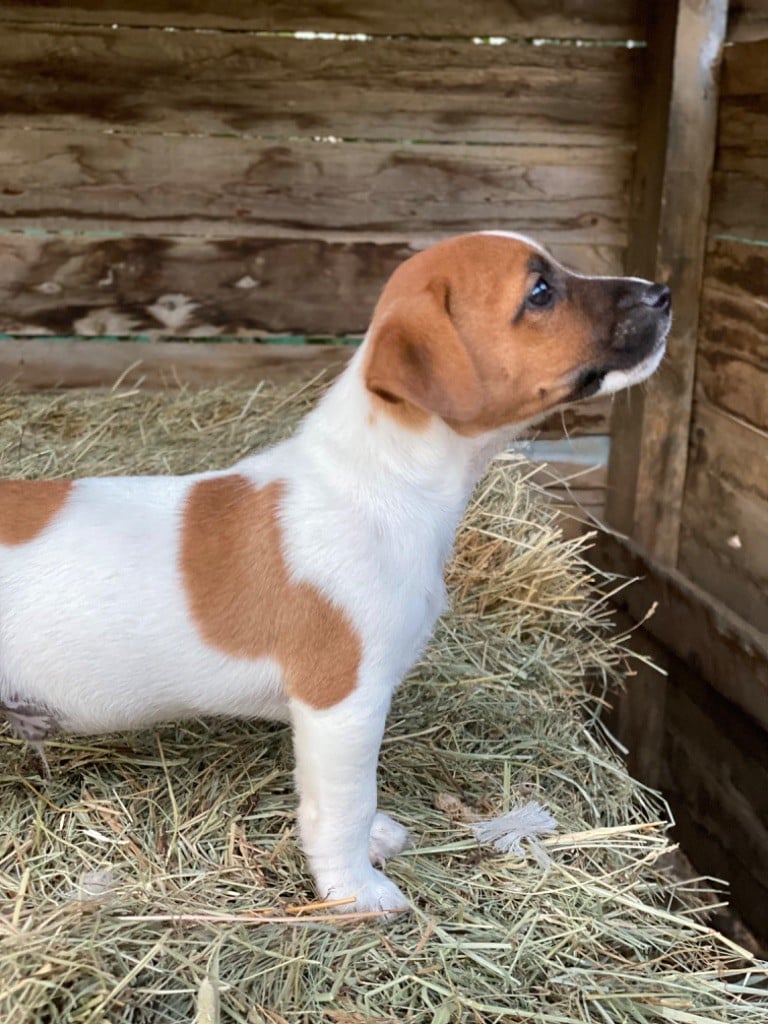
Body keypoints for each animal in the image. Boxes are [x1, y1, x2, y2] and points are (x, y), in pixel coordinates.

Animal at [0, 232, 671, 913]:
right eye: (540, 292)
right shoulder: (343, 704)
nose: (664, 294)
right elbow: (344, 805)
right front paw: (354, 889)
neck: (382, 479)